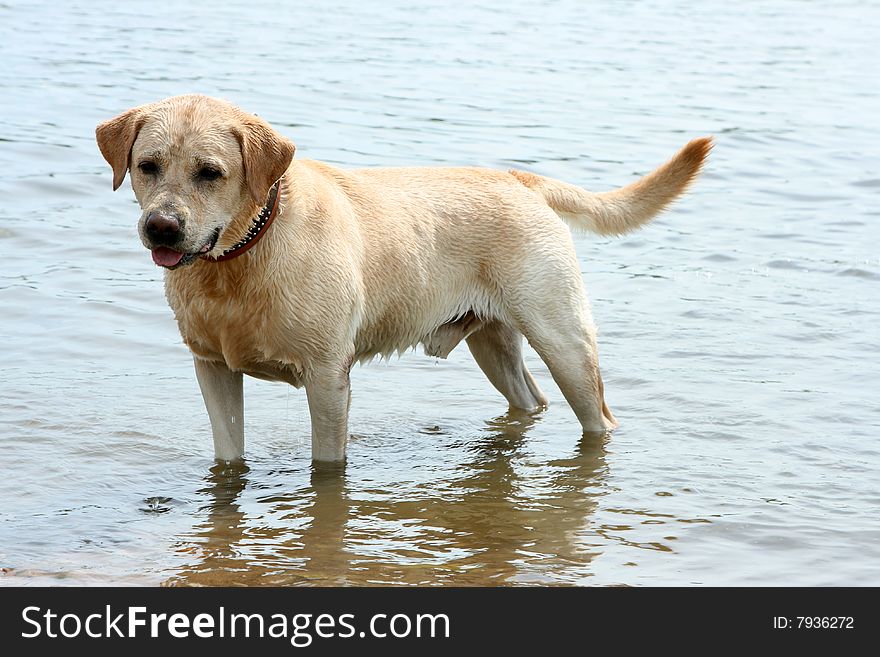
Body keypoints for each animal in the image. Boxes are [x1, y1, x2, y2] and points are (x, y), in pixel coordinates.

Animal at [96, 95, 712, 462]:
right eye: (148, 166)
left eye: (210, 173)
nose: (161, 227)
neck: (241, 260)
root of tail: (519, 179)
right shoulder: (213, 369)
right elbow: (229, 458)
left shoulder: (327, 378)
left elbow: (326, 467)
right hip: (494, 344)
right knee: (530, 401)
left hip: (564, 341)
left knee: (597, 415)